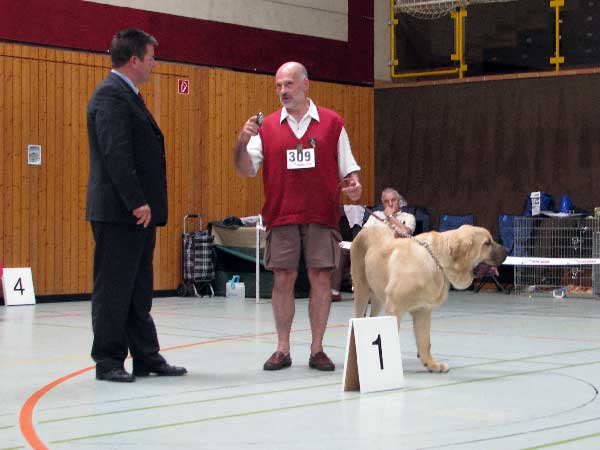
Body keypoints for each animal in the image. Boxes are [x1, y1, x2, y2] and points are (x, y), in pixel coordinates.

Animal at [352, 224, 506, 372]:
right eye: (487, 243)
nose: (507, 250)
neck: (438, 261)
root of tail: (367, 228)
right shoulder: (395, 309)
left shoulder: (423, 310)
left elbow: (425, 341)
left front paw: (431, 364)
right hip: (362, 291)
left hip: (377, 298)